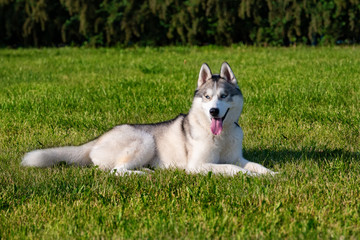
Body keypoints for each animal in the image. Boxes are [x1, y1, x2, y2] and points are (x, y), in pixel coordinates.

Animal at [21, 62, 276, 176]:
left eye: (223, 96)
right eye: (207, 97)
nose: (214, 111)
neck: (220, 136)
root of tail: (96, 140)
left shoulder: (237, 157)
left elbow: (254, 165)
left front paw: (270, 174)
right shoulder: (197, 165)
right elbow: (233, 169)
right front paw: (249, 177)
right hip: (144, 140)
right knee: (116, 171)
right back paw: (144, 174)